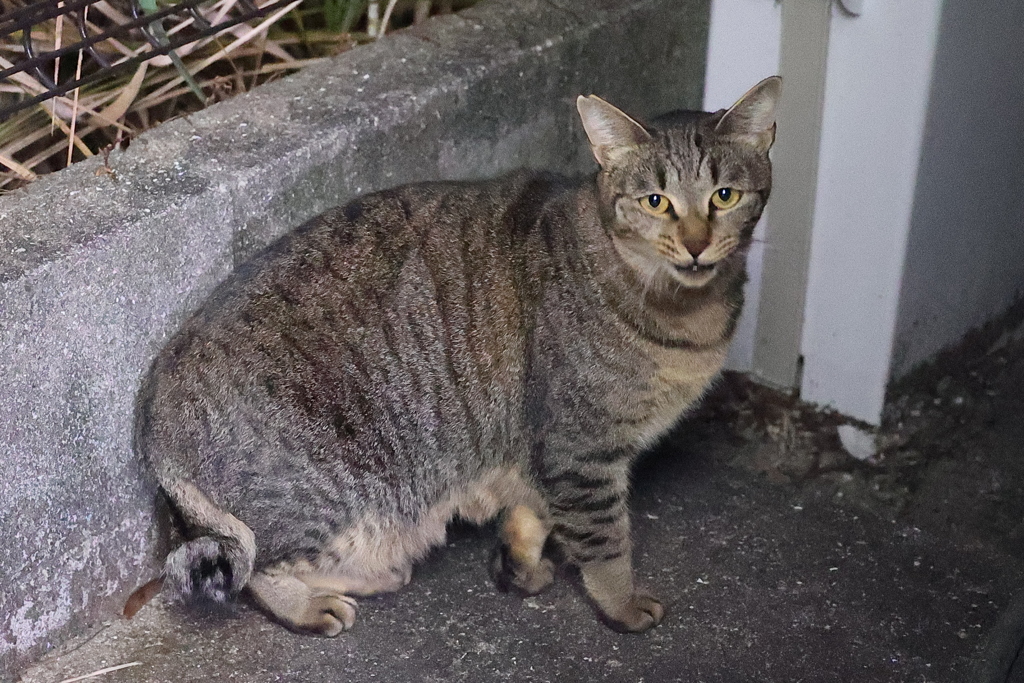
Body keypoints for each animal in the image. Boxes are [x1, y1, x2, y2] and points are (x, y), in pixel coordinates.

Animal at [132, 77, 778, 638]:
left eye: (725, 196)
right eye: (656, 201)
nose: (696, 244)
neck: (686, 314)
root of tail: (154, 411)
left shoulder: (542, 451)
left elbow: (531, 514)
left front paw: (519, 566)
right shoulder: (580, 448)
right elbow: (605, 541)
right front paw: (621, 604)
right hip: (332, 490)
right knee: (258, 567)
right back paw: (315, 602)